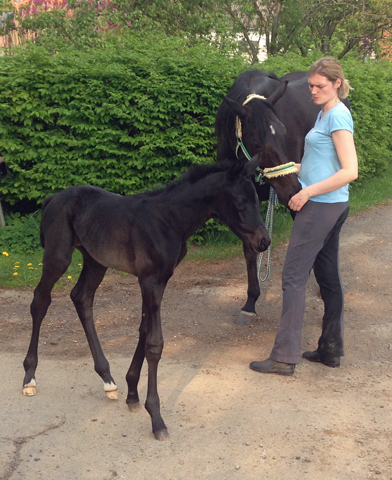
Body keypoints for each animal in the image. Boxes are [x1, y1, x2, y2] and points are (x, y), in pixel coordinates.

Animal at [23, 158, 270, 438]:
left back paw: (108, 379)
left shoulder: (156, 281)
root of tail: (52, 198)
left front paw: (132, 393)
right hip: (58, 256)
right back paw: (29, 377)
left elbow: (143, 330)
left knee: (81, 297)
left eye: (257, 200)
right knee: (40, 301)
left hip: (96, 261)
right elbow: (155, 344)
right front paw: (156, 417)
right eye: (239, 202)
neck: (168, 221)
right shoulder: (150, 281)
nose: (264, 241)